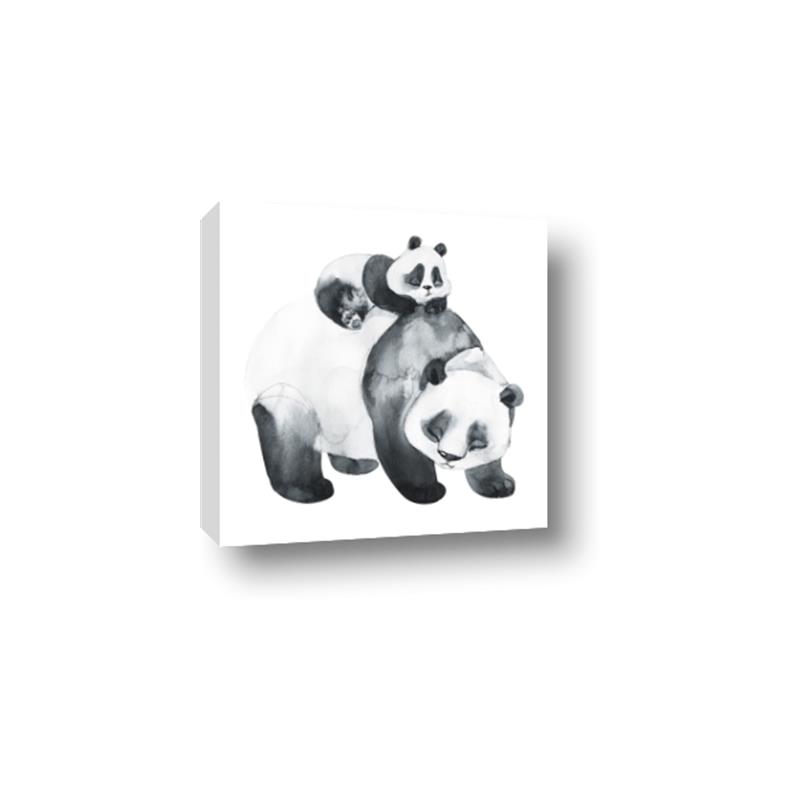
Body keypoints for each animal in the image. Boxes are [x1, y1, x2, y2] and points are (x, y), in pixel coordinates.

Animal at [245, 297, 522, 504]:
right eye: (435, 429)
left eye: (478, 440)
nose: (448, 456)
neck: (454, 354)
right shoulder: (398, 372)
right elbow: (396, 437)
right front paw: (426, 491)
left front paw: (497, 483)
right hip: (291, 387)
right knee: (289, 429)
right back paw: (309, 489)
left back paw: (355, 464)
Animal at [315, 236, 451, 330]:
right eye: (416, 278)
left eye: (437, 279)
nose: (427, 287)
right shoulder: (377, 270)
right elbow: (380, 289)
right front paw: (407, 306)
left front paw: (434, 306)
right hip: (334, 281)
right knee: (332, 302)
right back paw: (350, 317)